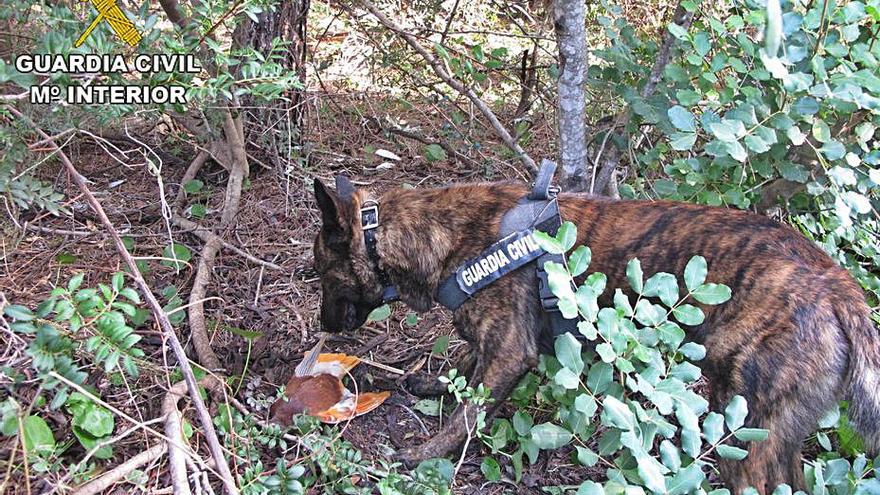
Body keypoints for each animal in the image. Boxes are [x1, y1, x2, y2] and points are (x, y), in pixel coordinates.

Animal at [312, 176, 880, 494]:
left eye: (319, 272)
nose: (323, 326)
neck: (439, 237)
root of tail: (839, 287)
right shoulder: (493, 348)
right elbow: (466, 371)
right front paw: (437, 384)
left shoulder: (508, 352)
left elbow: (469, 413)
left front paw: (424, 455)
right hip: (780, 439)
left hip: (742, 435)